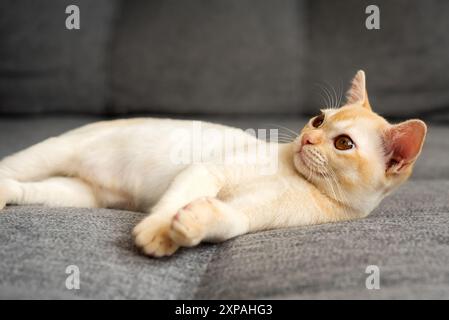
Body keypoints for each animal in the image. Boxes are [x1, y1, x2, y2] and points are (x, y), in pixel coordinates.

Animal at [0, 70, 426, 258]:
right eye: (319, 121)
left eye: (343, 143)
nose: (307, 139)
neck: (298, 180)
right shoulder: (208, 171)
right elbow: (172, 203)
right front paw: (158, 232)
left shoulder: (250, 215)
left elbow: (227, 220)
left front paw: (191, 225)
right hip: (54, 152)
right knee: (11, 166)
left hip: (76, 194)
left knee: (26, 189)